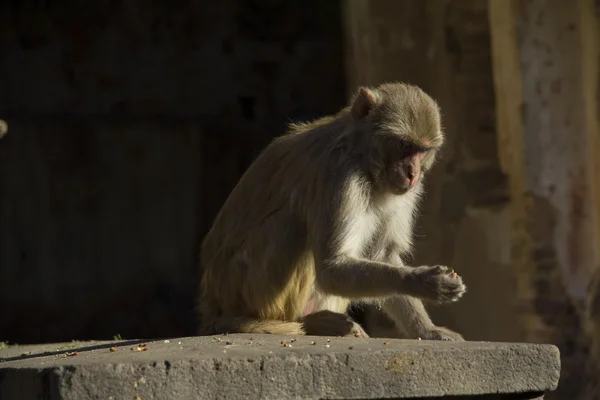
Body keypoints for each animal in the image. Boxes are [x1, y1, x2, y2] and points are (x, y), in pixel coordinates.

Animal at [199, 81, 466, 340]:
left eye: (422, 150)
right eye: (404, 144)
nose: (413, 173)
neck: (363, 159)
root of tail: (213, 304)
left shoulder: (405, 192)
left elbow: (383, 255)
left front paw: (426, 329)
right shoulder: (338, 173)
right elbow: (332, 267)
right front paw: (424, 281)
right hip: (243, 286)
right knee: (291, 227)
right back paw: (306, 323)